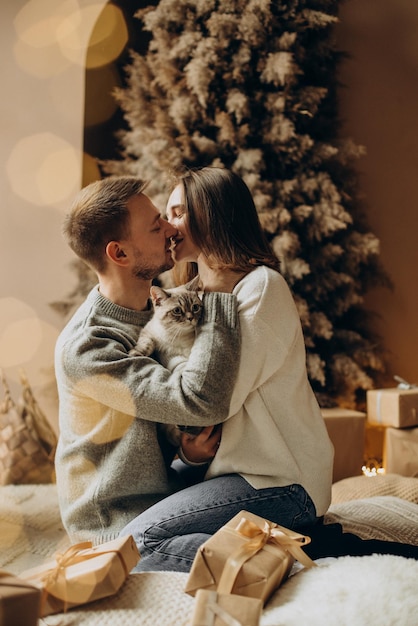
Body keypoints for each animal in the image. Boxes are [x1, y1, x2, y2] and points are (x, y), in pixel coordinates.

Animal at [129, 280, 204, 446]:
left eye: (195, 307)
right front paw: (135, 353)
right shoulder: (149, 332)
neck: (176, 336)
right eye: (177, 310)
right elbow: (145, 345)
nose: (190, 318)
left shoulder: (188, 357)